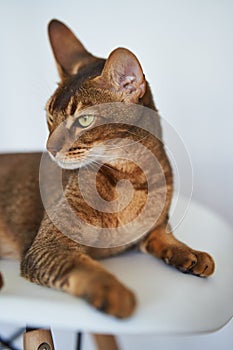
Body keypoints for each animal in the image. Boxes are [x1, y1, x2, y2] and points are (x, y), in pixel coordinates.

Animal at [0, 19, 215, 320]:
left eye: (84, 120)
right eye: (50, 117)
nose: (50, 149)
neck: (131, 179)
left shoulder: (151, 230)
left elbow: (165, 237)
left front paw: (191, 254)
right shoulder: (48, 246)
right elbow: (81, 266)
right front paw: (115, 293)